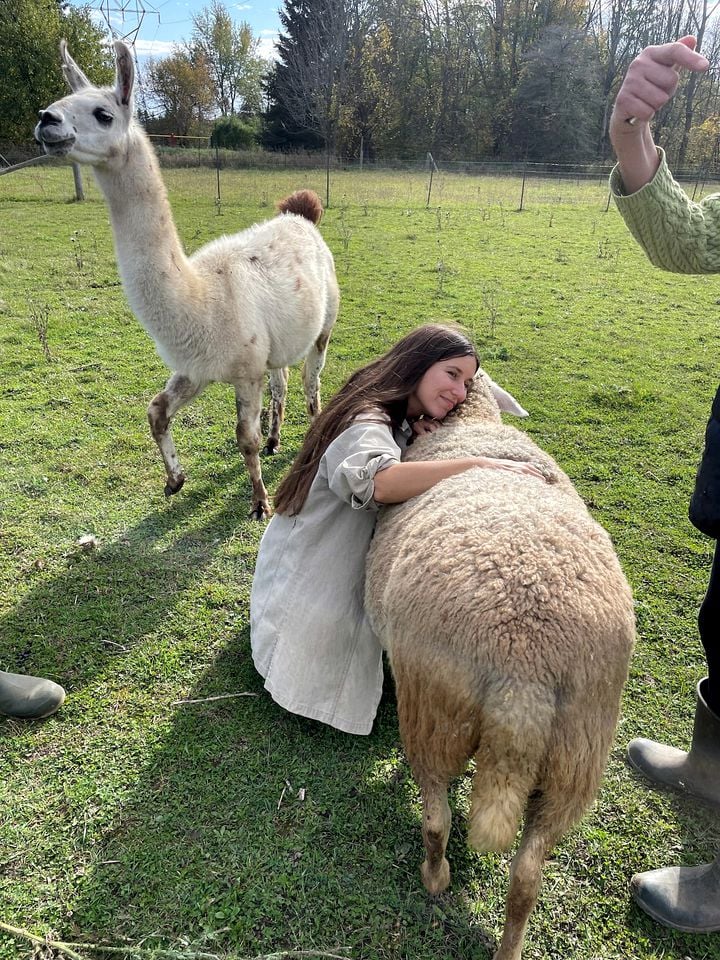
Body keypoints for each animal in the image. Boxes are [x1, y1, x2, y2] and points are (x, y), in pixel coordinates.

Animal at [366, 372, 636, 960]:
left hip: (435, 711)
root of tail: (525, 664)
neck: (473, 421)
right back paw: (510, 946)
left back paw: (435, 877)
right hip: (578, 754)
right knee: (529, 871)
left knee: (437, 815)